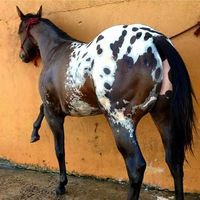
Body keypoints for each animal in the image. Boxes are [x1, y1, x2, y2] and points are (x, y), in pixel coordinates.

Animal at [16, 6, 195, 200]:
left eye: (19, 31)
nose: (22, 56)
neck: (56, 51)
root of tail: (156, 39)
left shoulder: (53, 113)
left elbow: (59, 149)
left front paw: (61, 185)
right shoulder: (55, 107)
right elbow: (40, 109)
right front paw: (34, 133)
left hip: (120, 121)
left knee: (136, 166)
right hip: (164, 116)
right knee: (174, 162)